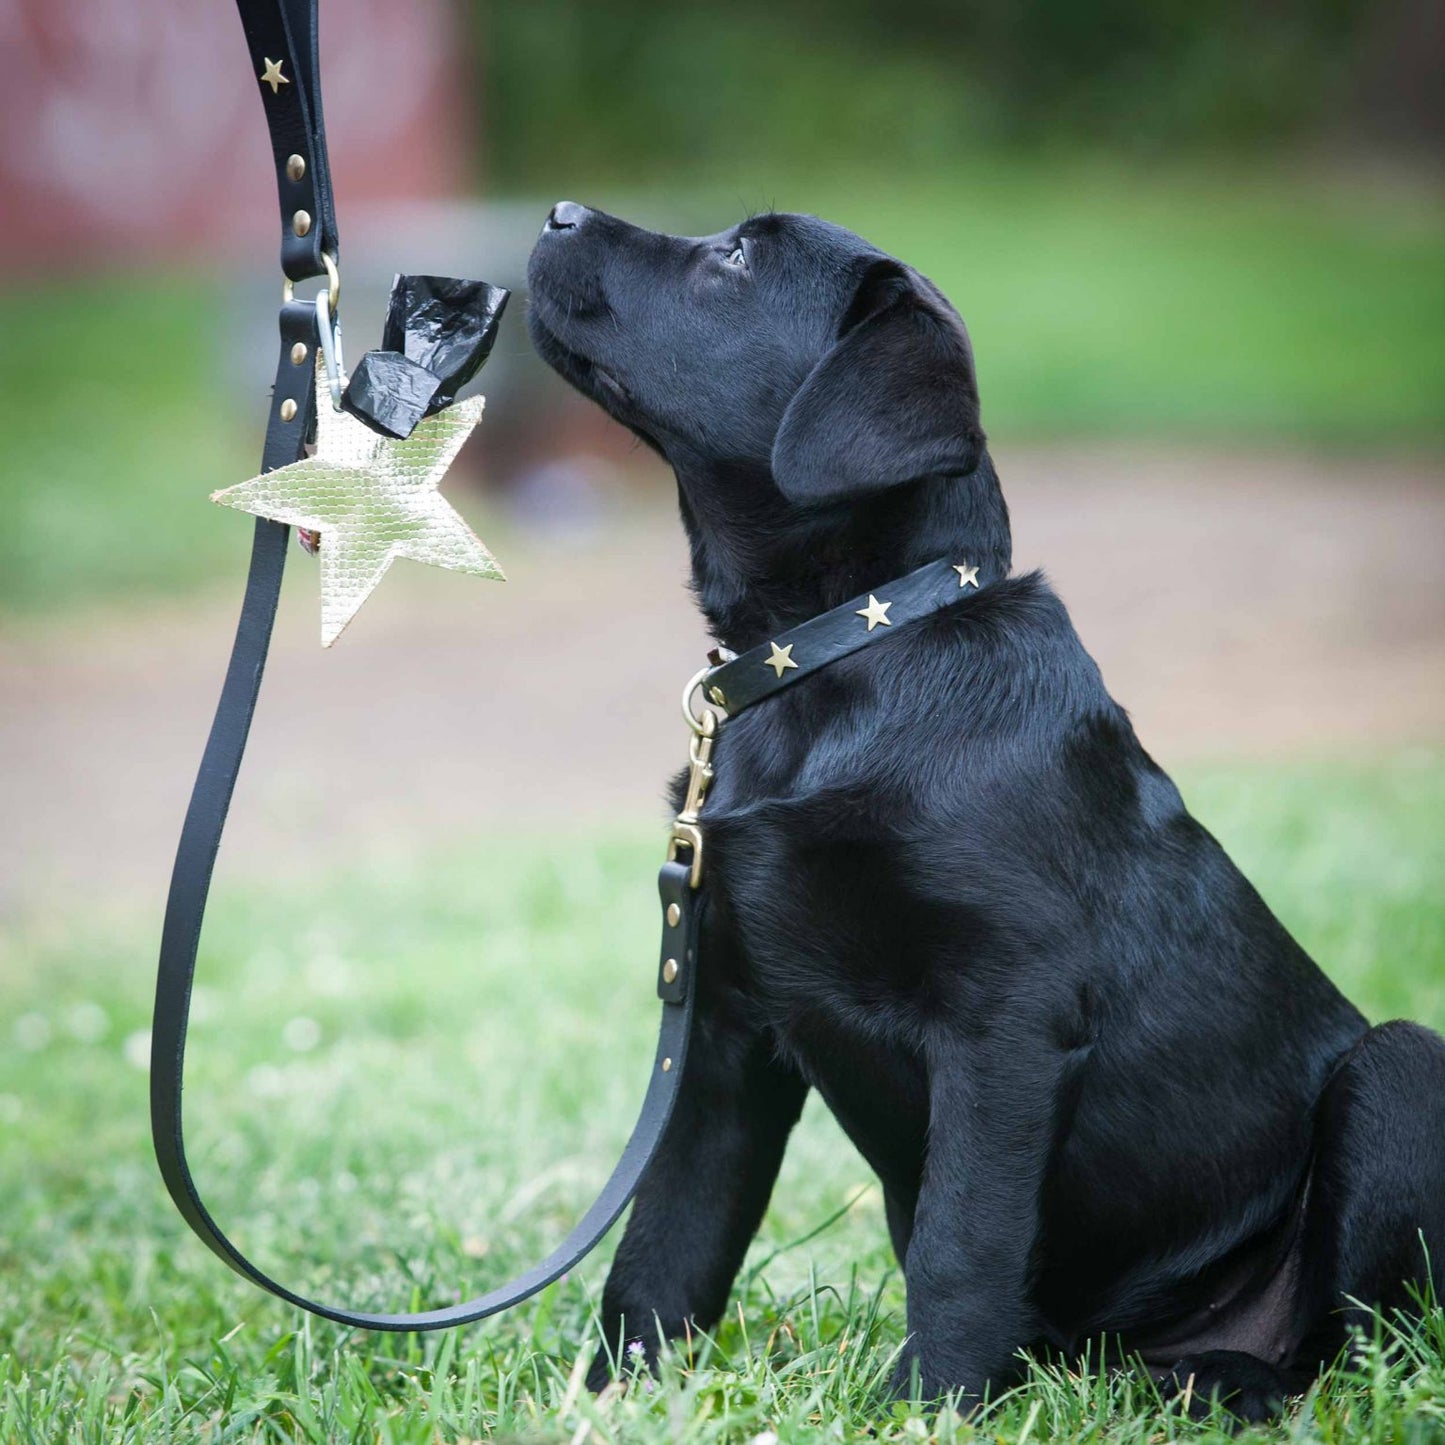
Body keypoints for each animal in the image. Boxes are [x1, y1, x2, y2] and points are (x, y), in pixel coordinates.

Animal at [525, 200, 1445, 1410]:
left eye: (735, 258)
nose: (557, 212)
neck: (843, 654)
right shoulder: (720, 1032)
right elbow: (662, 1245)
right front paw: (611, 1401)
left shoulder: (1005, 1021)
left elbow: (961, 1245)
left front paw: (922, 1412)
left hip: (1399, 1070)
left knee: (1351, 1347)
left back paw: (1229, 1385)